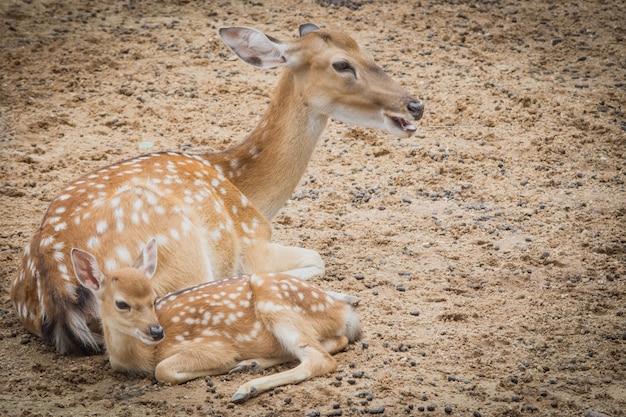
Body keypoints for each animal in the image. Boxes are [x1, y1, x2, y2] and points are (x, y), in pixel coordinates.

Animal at [9, 23, 422, 352]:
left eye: (366, 51)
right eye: (341, 64)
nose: (414, 105)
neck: (245, 189)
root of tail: (56, 287)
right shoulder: (253, 241)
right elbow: (315, 259)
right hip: (175, 258)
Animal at [70, 239, 358, 402]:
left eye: (153, 298)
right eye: (122, 303)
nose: (156, 331)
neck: (139, 356)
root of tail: (345, 312)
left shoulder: (212, 346)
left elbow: (163, 369)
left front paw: (225, 365)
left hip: (275, 305)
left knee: (319, 359)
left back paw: (245, 388)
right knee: (333, 342)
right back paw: (249, 364)